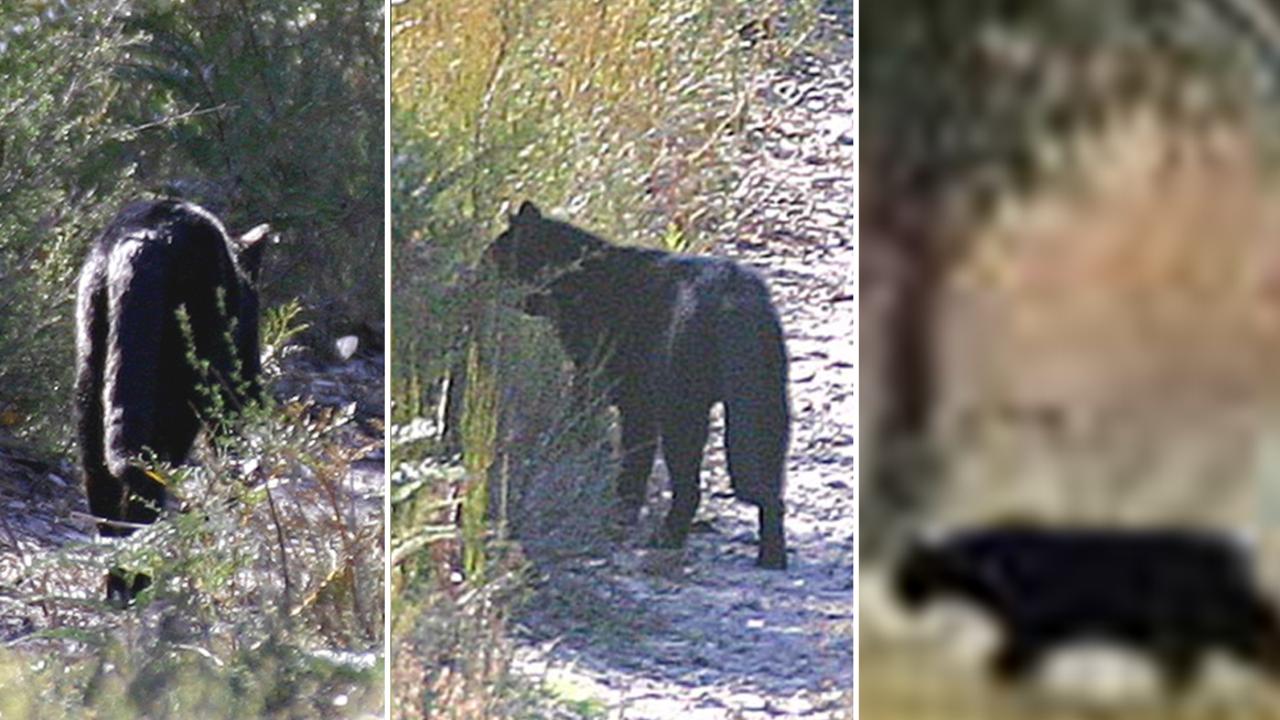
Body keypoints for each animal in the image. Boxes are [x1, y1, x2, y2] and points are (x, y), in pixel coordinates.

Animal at [74, 197, 270, 604]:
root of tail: (144, 238)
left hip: (91, 370)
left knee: (100, 476)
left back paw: (115, 582)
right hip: (183, 386)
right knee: (149, 478)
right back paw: (137, 582)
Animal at [483, 199, 788, 566]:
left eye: (501, 249)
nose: (482, 261)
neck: (579, 276)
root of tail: (735, 301)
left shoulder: (606, 388)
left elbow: (619, 452)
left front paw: (618, 510)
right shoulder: (636, 403)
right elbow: (636, 459)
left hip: (683, 412)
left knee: (690, 487)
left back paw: (667, 538)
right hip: (768, 410)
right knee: (772, 493)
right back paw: (772, 557)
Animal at [896, 525, 1280, 686]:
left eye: (912, 570)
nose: (900, 593)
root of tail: (1234, 555)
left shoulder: (1028, 635)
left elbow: (1002, 667)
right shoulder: (1031, 639)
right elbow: (1005, 669)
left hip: (1210, 630)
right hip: (1202, 637)